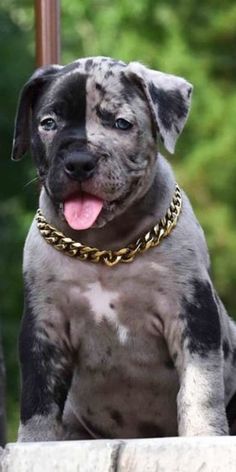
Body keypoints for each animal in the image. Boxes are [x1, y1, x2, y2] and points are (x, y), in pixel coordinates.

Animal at [11, 57, 236, 440]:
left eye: (121, 123)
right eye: (48, 123)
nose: (79, 161)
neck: (106, 247)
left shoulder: (192, 313)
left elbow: (199, 386)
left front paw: (204, 435)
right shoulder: (44, 329)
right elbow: (38, 401)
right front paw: (34, 446)